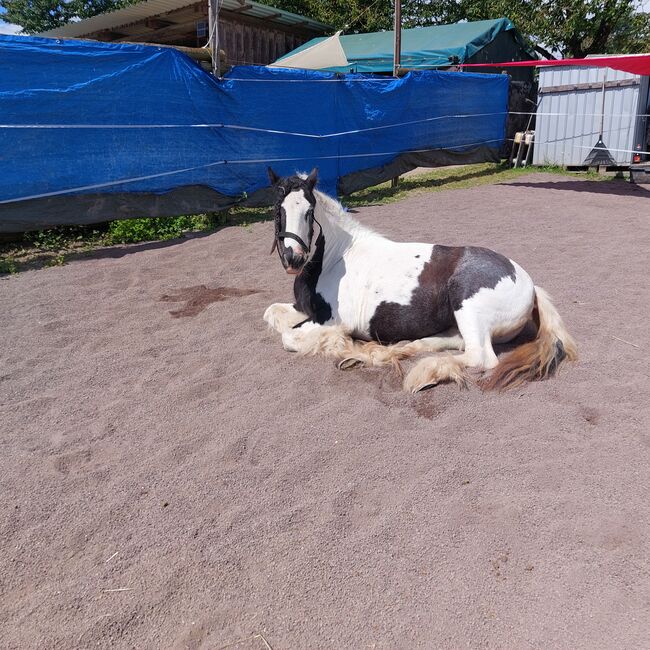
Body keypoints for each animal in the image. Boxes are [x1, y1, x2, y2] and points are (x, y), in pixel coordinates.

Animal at [260, 167, 576, 390]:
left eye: (309, 211)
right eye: (277, 209)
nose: (294, 258)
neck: (336, 258)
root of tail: (530, 285)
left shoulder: (332, 321)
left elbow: (289, 338)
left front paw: (342, 345)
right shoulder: (303, 309)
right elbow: (271, 313)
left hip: (468, 306)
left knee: (480, 356)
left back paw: (423, 371)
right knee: (453, 342)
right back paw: (392, 351)